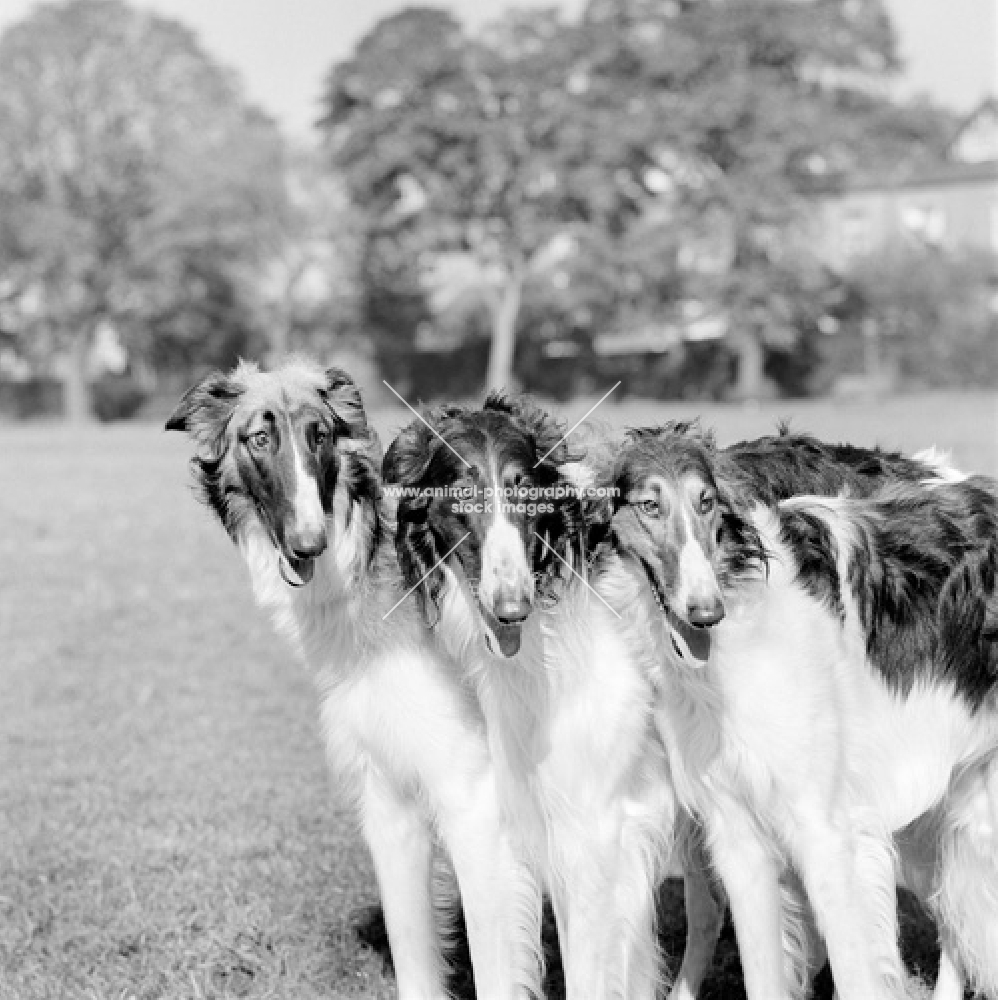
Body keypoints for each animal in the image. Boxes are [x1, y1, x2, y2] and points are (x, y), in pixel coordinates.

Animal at [165, 362, 544, 1000]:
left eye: (319, 435)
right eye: (259, 438)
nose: (309, 544)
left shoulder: (475, 805)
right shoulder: (389, 798)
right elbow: (414, 957)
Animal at [600, 426, 998, 1000]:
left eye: (706, 502)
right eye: (649, 505)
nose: (705, 612)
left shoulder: (826, 830)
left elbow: (856, 974)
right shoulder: (737, 834)